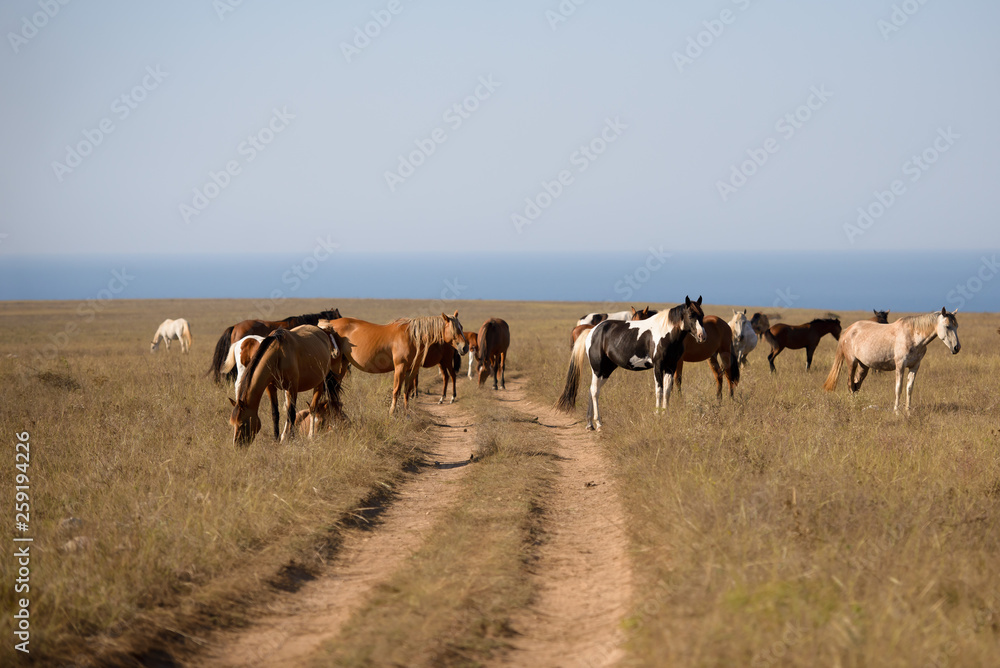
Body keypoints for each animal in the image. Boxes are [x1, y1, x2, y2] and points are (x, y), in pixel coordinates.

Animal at [326, 312, 470, 412]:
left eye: (462, 327)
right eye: (455, 329)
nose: (465, 347)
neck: (412, 337)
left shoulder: (410, 369)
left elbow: (407, 390)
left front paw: (406, 414)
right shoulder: (400, 368)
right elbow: (396, 391)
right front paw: (391, 413)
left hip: (343, 364)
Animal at [560, 294, 708, 430]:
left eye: (702, 315)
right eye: (691, 315)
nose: (702, 336)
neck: (666, 333)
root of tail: (592, 331)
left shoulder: (670, 367)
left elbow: (667, 392)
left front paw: (666, 416)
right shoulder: (658, 366)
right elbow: (659, 391)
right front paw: (657, 416)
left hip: (607, 370)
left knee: (591, 390)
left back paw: (590, 424)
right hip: (598, 369)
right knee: (595, 391)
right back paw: (599, 423)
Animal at [820, 308, 960, 412]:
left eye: (956, 326)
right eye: (947, 326)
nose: (956, 348)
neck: (912, 336)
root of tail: (848, 330)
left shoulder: (915, 366)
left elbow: (909, 388)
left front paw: (908, 411)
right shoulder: (900, 366)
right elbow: (898, 388)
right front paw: (896, 411)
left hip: (863, 366)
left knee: (856, 385)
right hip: (852, 363)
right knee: (850, 384)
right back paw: (852, 406)